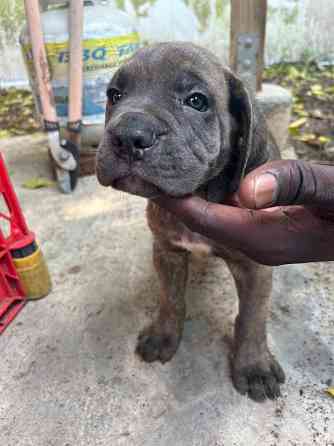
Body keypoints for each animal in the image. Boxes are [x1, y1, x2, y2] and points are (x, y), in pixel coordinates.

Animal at [96, 41, 284, 402]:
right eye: (114, 95)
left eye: (197, 101)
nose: (128, 134)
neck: (200, 190)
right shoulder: (167, 250)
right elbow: (171, 299)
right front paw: (163, 335)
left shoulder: (255, 267)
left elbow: (253, 317)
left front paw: (254, 366)